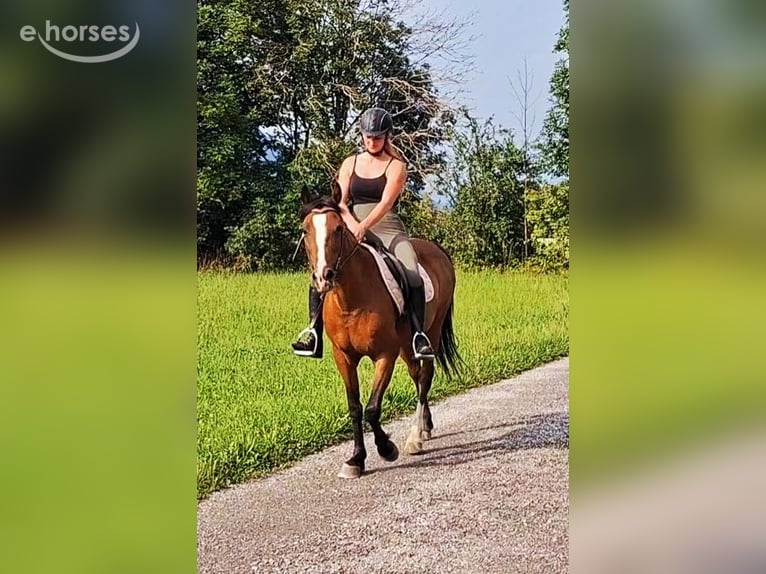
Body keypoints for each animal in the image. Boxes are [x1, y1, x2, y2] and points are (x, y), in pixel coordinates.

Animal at [299, 190, 462, 478]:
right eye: (306, 230)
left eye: (338, 229)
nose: (323, 277)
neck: (351, 301)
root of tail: (436, 249)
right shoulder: (343, 357)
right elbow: (355, 407)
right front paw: (355, 459)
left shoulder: (385, 355)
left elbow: (372, 409)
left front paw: (386, 449)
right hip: (407, 346)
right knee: (417, 376)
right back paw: (426, 428)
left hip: (429, 332)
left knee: (425, 377)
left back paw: (415, 438)